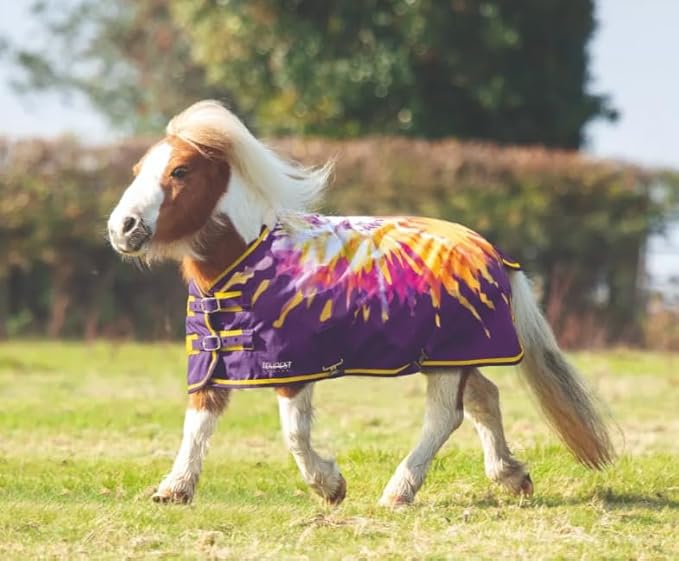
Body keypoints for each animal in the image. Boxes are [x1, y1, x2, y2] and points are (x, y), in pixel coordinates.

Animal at [107, 100, 614, 506]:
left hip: (447, 357)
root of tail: (491, 251)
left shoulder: (293, 365)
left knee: (445, 416)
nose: (122, 228)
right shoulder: (211, 359)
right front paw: (174, 489)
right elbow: (198, 424)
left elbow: (294, 434)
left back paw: (399, 491)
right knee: (484, 399)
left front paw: (330, 486)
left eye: (180, 171)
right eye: (136, 172)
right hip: (456, 355)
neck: (248, 261)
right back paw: (511, 477)